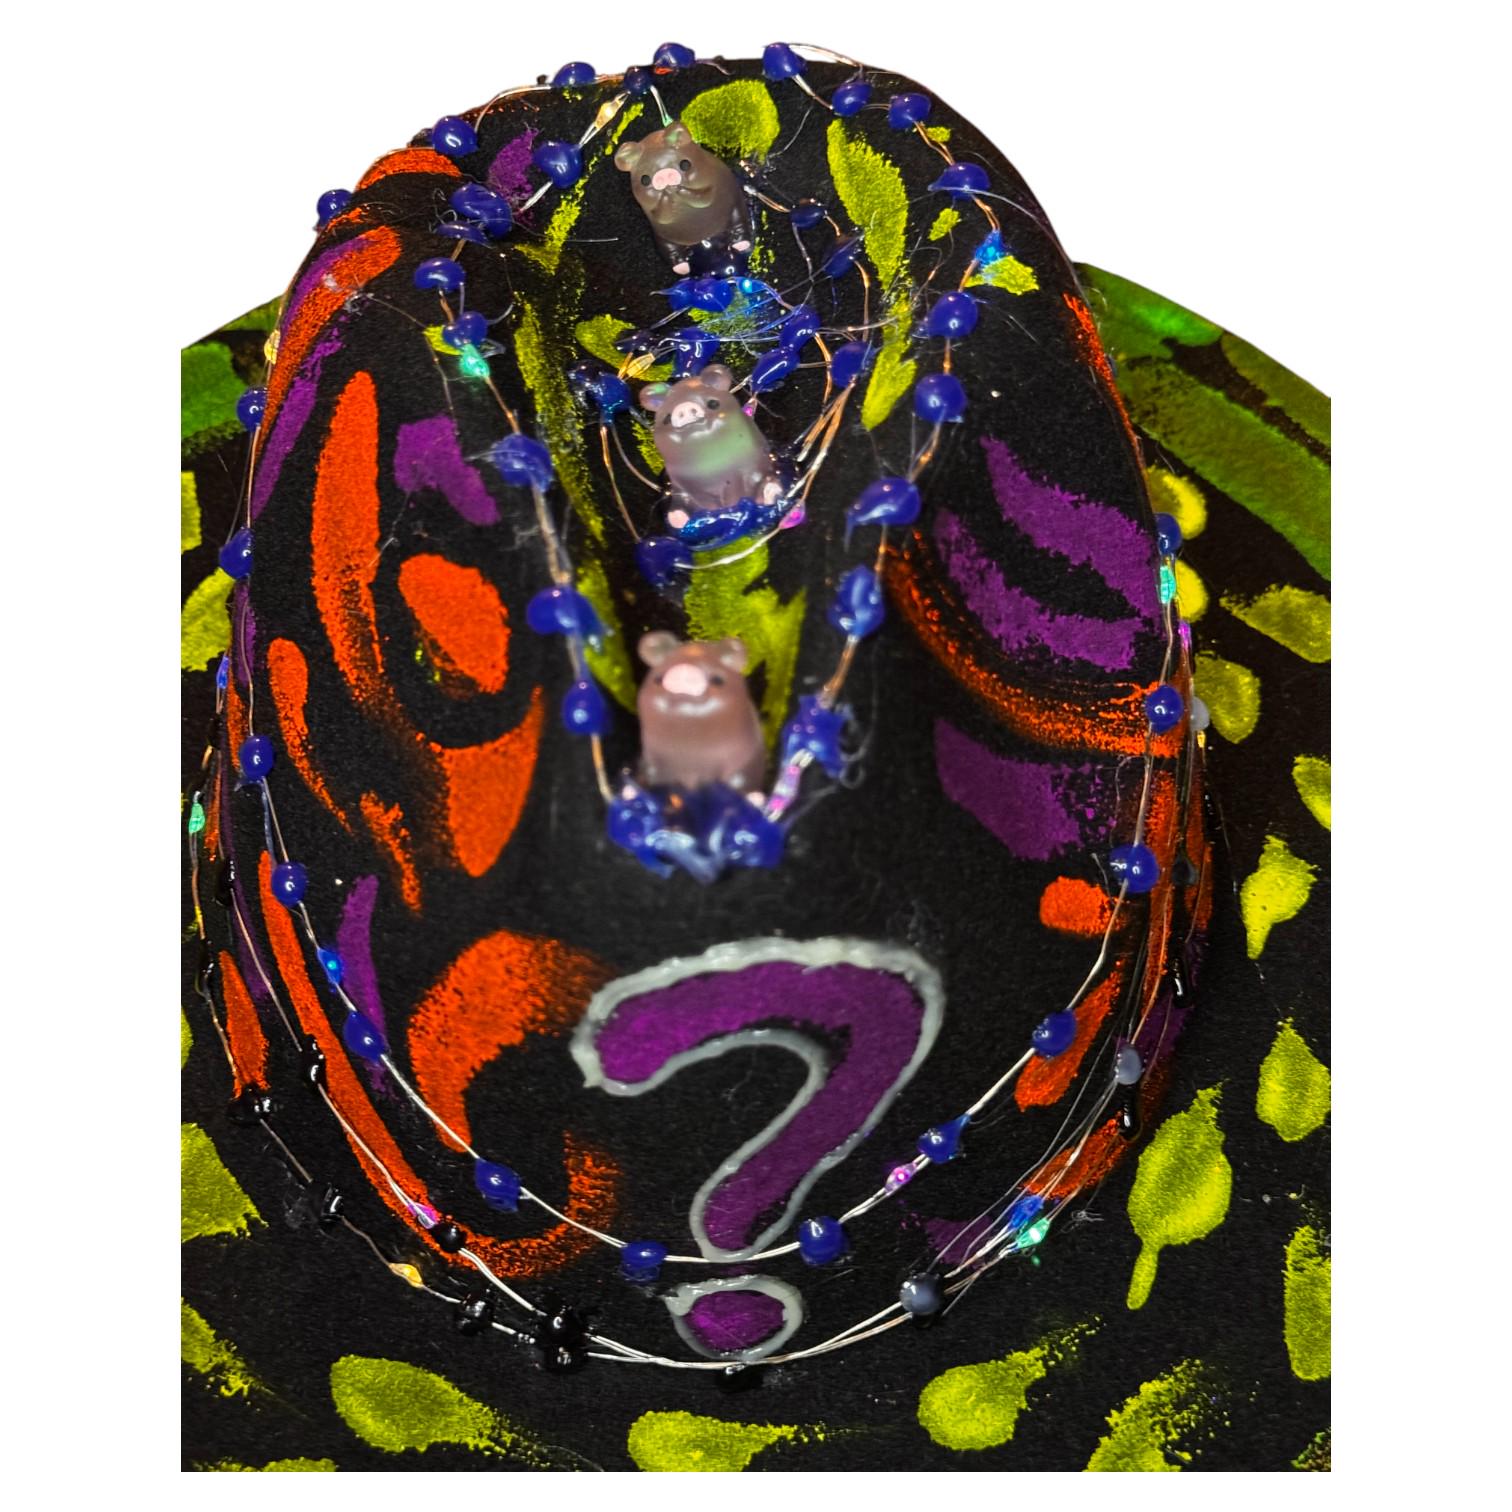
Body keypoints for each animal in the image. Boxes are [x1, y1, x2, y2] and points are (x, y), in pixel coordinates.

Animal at [615, 122, 752, 275]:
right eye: (644, 180)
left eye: (685, 164)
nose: (664, 174)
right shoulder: (651, 210)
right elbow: (662, 213)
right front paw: (667, 195)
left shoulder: (710, 186)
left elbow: (702, 196)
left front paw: (679, 189)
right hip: (663, 239)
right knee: (671, 252)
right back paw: (682, 267)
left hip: (735, 210)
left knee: (739, 225)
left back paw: (741, 244)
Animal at [640, 364, 785, 528]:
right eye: (666, 419)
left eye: (713, 404)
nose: (683, 406)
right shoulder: (682, 487)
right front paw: (677, 518)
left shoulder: (752, 466)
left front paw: (770, 492)